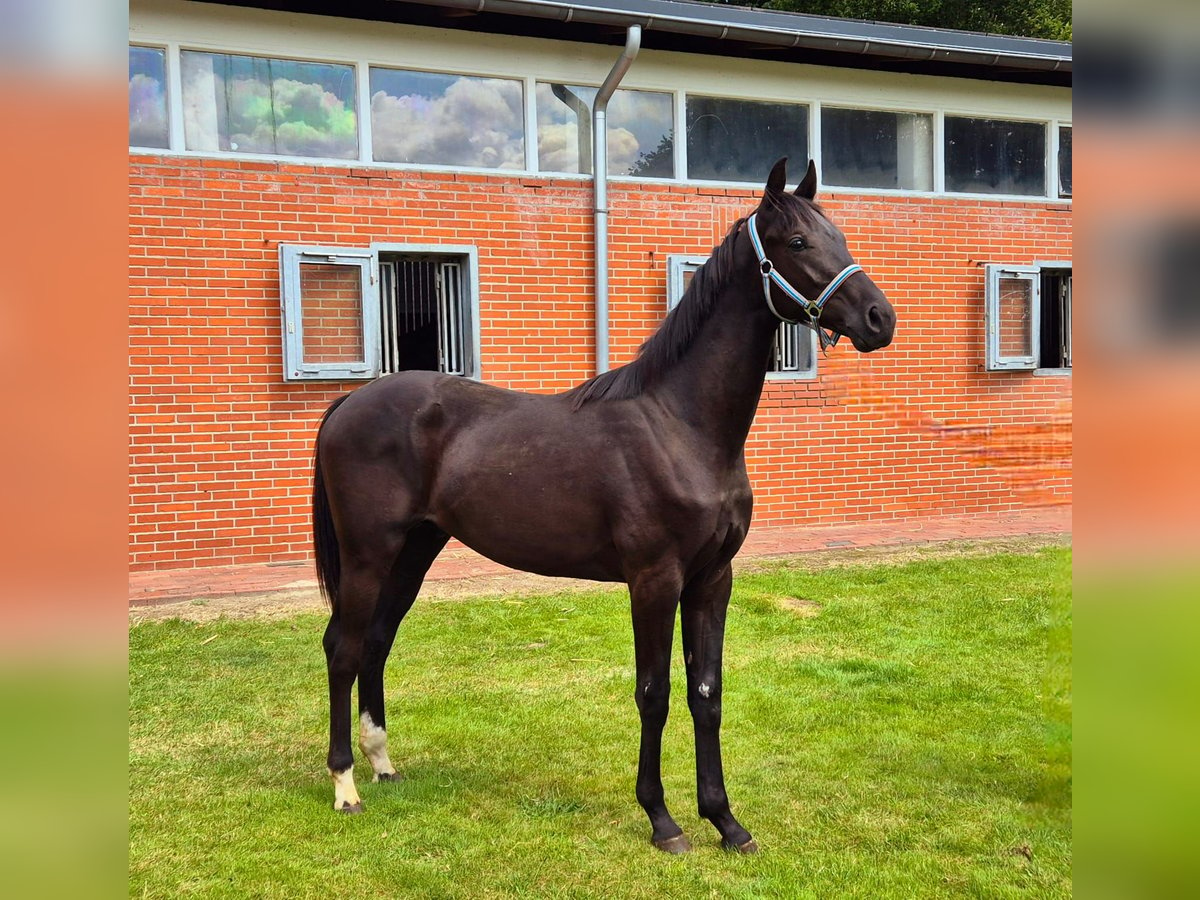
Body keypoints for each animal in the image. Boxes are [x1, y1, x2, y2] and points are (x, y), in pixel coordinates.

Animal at [314, 158, 897, 854]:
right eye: (799, 242)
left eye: (839, 236)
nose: (879, 318)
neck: (683, 426)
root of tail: (351, 402)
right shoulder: (654, 580)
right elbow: (655, 692)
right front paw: (663, 821)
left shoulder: (712, 580)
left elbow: (707, 692)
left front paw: (726, 822)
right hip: (370, 554)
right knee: (344, 648)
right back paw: (344, 786)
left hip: (415, 551)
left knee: (376, 641)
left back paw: (382, 764)